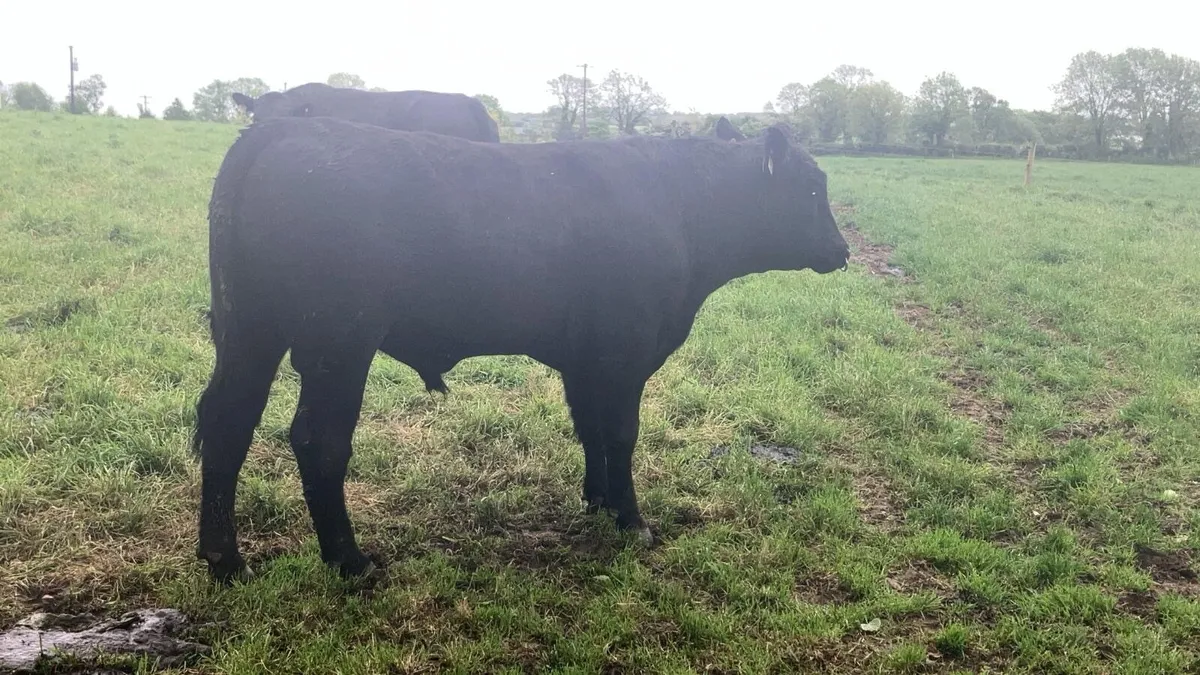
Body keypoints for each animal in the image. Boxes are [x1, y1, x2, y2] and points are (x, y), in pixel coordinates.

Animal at [192, 115, 851, 584]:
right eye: (813, 187)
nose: (843, 251)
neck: (680, 209)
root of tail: (286, 127)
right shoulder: (626, 351)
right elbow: (620, 434)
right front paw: (632, 521)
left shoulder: (585, 358)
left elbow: (589, 428)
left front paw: (597, 500)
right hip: (339, 341)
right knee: (317, 440)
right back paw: (350, 562)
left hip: (250, 330)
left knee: (227, 422)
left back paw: (225, 560)